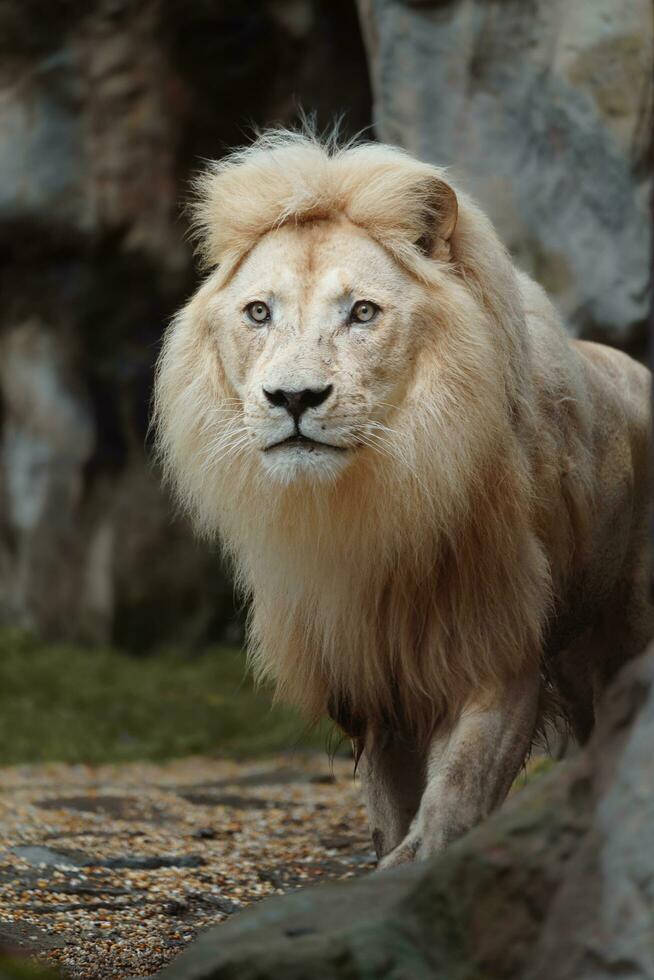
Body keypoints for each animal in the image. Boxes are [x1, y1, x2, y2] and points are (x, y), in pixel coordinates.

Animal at [152, 128, 652, 864]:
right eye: (259, 312)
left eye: (362, 312)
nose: (293, 398)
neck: (373, 502)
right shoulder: (363, 674)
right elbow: (392, 805)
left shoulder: (496, 652)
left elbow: (456, 794)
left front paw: (416, 867)